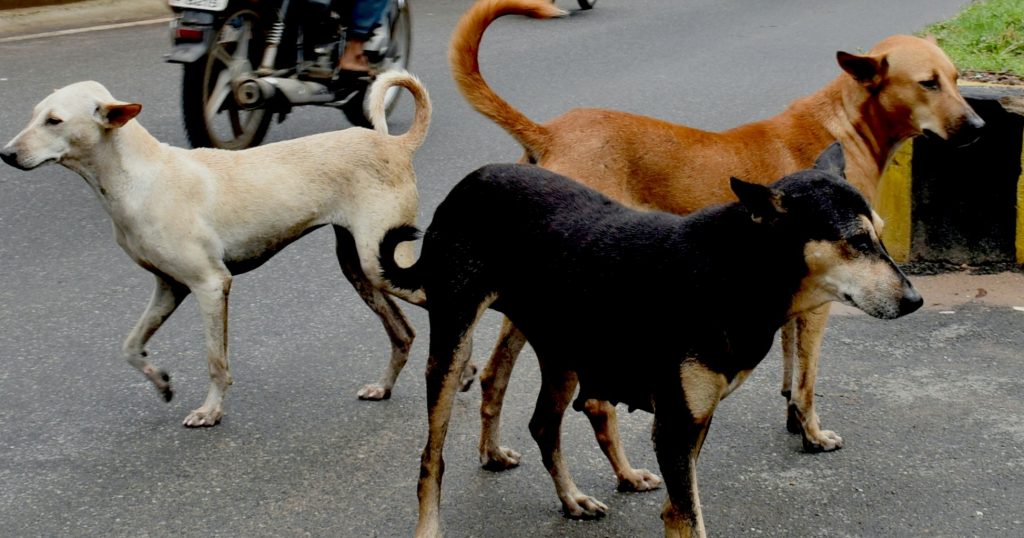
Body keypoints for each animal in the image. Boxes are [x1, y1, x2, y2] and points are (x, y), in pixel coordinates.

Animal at [1, 70, 432, 424]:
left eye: (54, 121)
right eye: (34, 115)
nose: (6, 154)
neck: (139, 177)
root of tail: (395, 145)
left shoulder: (210, 285)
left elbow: (215, 360)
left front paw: (210, 411)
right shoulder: (169, 288)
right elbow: (130, 346)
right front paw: (161, 381)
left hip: (381, 263)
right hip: (360, 267)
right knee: (403, 333)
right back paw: (384, 386)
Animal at [380, 144, 925, 532]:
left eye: (880, 233)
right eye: (856, 242)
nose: (915, 300)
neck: (736, 270)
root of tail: (465, 186)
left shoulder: (694, 420)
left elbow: (677, 512)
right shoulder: (676, 425)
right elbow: (688, 516)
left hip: (562, 352)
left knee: (543, 425)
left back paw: (572, 498)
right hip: (452, 349)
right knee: (432, 461)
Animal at [450, 0, 983, 485]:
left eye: (957, 78)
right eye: (928, 83)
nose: (979, 127)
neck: (843, 122)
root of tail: (548, 133)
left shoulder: (786, 303)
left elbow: (789, 370)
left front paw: (793, 421)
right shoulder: (817, 304)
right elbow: (807, 380)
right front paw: (812, 433)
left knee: (495, 374)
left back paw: (493, 450)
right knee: (591, 401)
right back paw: (623, 472)